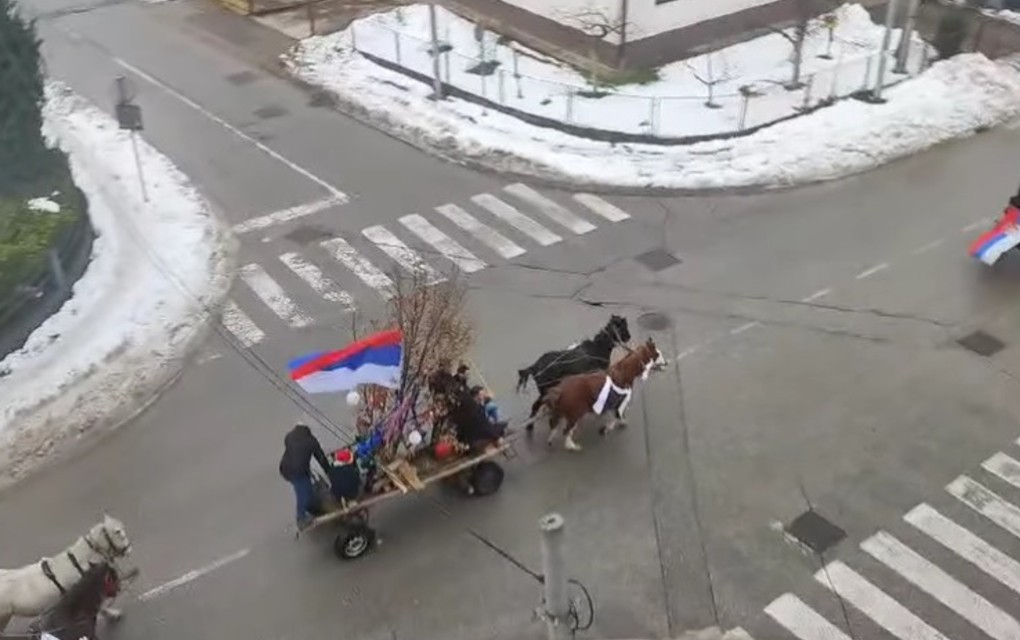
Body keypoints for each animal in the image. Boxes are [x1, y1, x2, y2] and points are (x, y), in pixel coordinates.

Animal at [0, 516, 135, 636]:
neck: (79, 560)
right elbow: (98, 607)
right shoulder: (84, 594)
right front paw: (113, 614)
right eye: (120, 534)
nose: (129, 550)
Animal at [526, 338, 669, 453]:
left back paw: (551, 439)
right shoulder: (621, 403)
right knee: (565, 430)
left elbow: (617, 416)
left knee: (553, 423)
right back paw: (572, 446)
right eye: (658, 354)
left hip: (561, 411)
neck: (624, 374)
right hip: (575, 413)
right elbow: (616, 417)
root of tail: (559, 390)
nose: (667, 362)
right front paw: (606, 429)